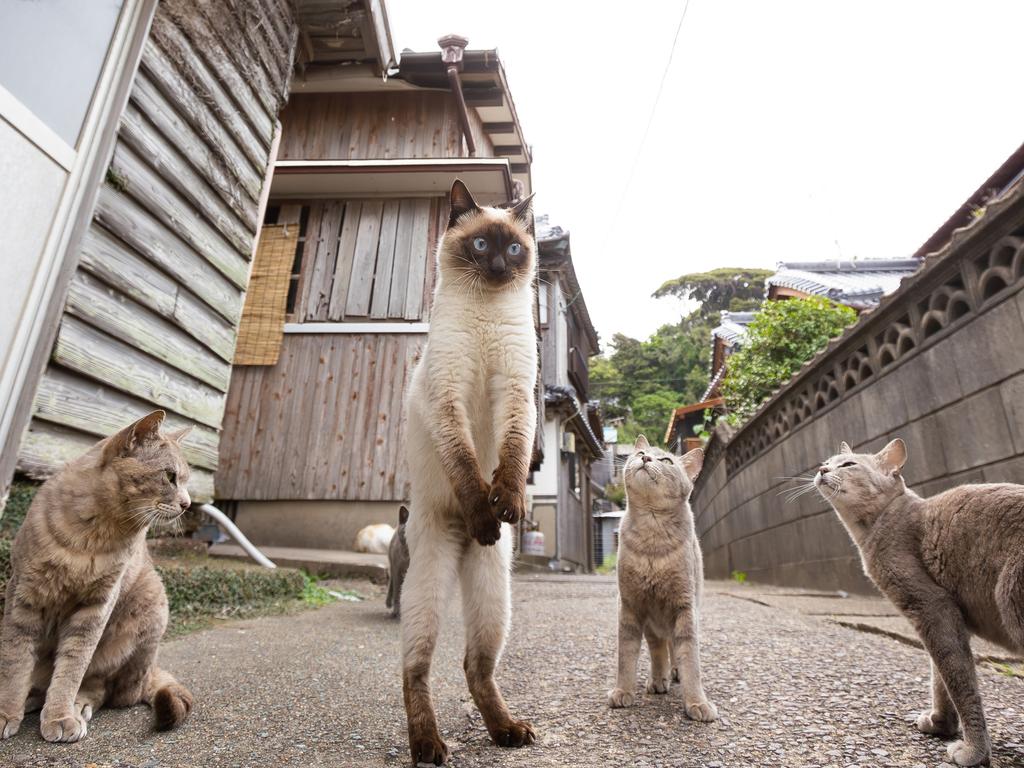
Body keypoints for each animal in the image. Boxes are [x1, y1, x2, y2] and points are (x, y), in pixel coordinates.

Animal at [0, 411, 193, 741]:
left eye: (184, 480)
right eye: (170, 476)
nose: (188, 504)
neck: (94, 535)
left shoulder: (96, 607)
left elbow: (72, 667)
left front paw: (60, 715)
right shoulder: (23, 598)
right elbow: (15, 663)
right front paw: (6, 711)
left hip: (150, 611)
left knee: (105, 690)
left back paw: (76, 706)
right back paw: (32, 698)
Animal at [606, 436, 720, 724]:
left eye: (666, 460)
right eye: (642, 454)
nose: (645, 458)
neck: (652, 541)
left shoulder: (684, 608)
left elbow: (690, 659)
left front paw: (697, 702)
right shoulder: (630, 606)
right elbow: (626, 657)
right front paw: (623, 691)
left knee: (674, 648)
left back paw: (674, 672)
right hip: (652, 623)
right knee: (659, 649)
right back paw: (658, 679)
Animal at [815, 442, 1024, 765]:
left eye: (848, 464)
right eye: (827, 461)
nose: (821, 469)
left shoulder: (931, 606)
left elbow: (958, 680)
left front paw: (973, 751)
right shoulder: (947, 617)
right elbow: (941, 676)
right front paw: (940, 723)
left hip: (1010, 597)